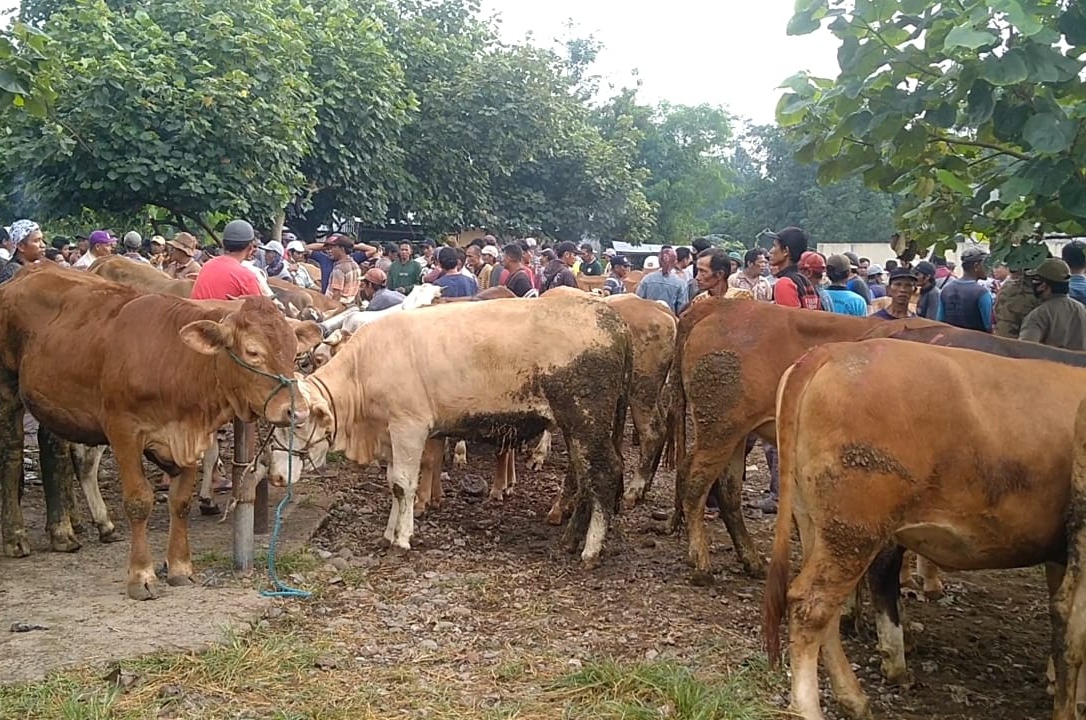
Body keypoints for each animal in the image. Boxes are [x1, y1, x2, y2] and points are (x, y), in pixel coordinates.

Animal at [0, 267, 321, 599]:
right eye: (252, 351)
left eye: (294, 352)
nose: (295, 411)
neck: (174, 363)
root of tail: (27, 273)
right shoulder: (124, 431)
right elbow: (139, 501)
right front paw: (141, 575)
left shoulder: (190, 435)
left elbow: (180, 501)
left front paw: (179, 567)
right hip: (8, 387)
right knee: (12, 453)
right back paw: (15, 536)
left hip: (55, 402)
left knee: (55, 450)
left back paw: (68, 529)